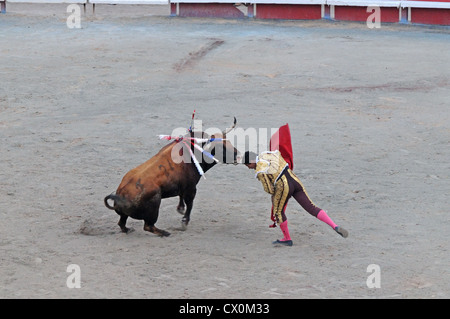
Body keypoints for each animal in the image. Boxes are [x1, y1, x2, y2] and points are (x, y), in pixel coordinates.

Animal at [104, 118, 239, 238]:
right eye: (221, 147)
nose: (237, 154)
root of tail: (121, 195)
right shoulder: (191, 188)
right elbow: (190, 204)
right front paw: (184, 222)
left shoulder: (182, 187)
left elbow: (181, 197)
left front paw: (180, 208)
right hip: (155, 206)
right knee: (147, 226)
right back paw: (164, 233)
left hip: (125, 214)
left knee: (121, 223)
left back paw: (128, 229)